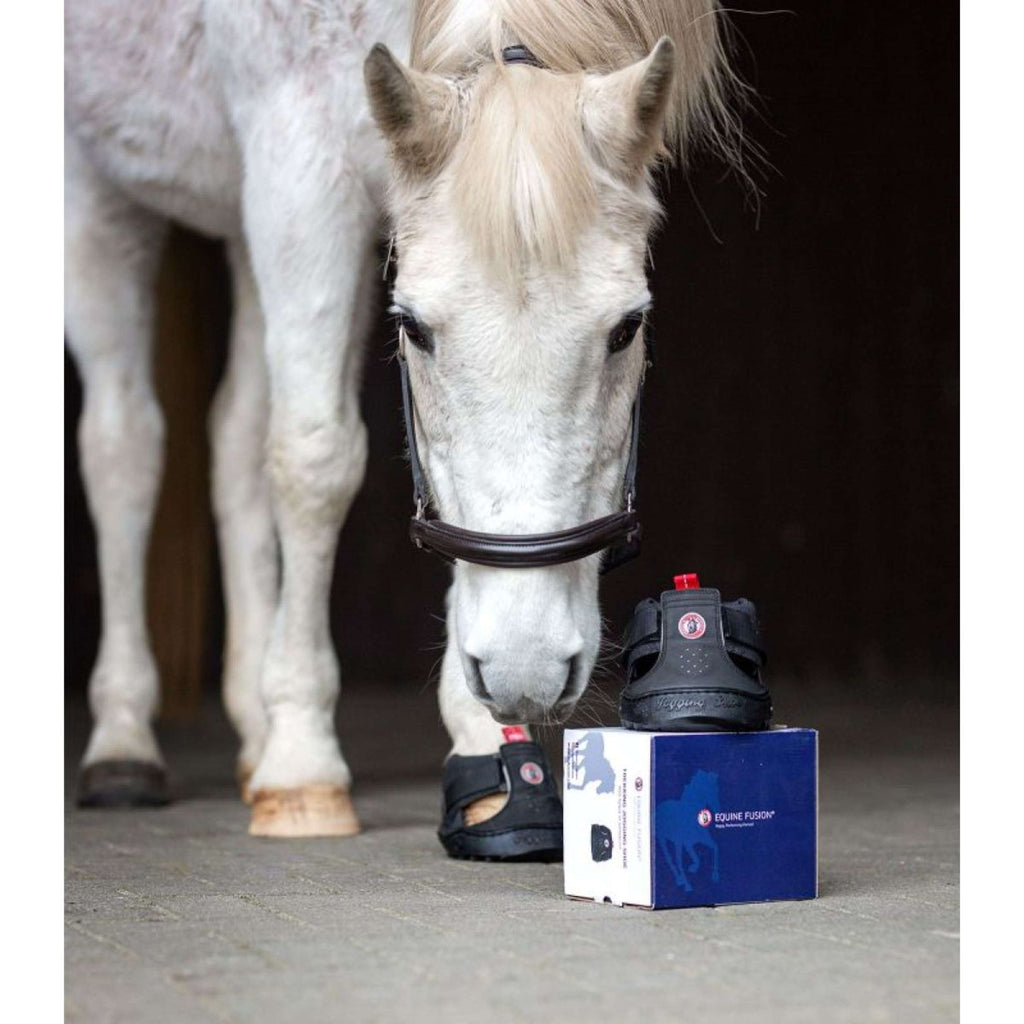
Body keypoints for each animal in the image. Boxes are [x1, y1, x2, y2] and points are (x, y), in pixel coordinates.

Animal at [65, 0, 742, 839]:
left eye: (627, 327)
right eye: (413, 328)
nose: (525, 667)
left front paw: (489, 754)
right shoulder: (300, 170)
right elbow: (315, 458)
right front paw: (304, 765)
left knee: (235, 443)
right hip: (99, 195)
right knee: (124, 447)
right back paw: (124, 742)